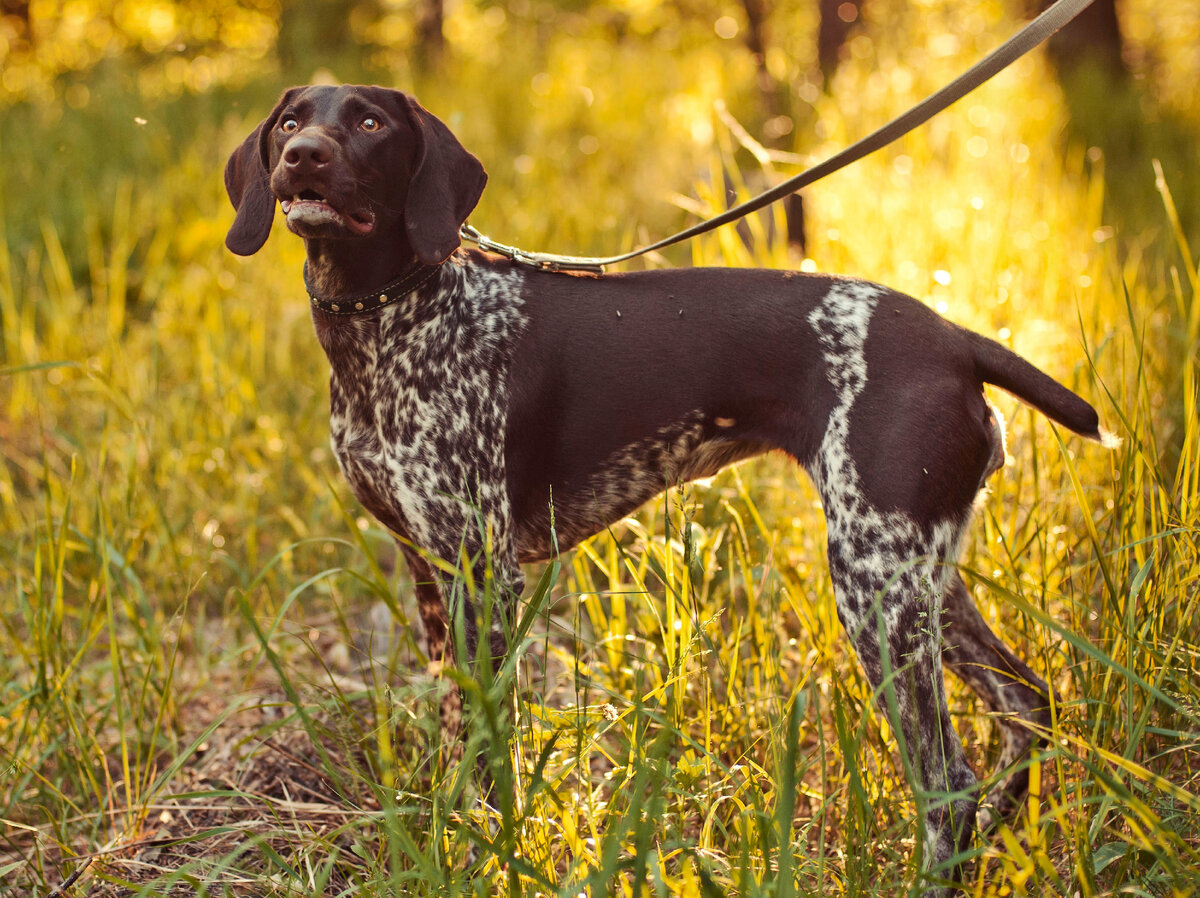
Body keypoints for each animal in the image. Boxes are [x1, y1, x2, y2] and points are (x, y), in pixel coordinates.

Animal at [226, 82, 1113, 893]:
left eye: (370, 122)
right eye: (290, 121)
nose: (302, 156)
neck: (390, 318)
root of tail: (956, 341)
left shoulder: (485, 571)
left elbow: (486, 746)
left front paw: (485, 853)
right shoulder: (430, 572)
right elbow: (455, 734)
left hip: (877, 588)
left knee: (948, 787)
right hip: (920, 575)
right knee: (1027, 703)